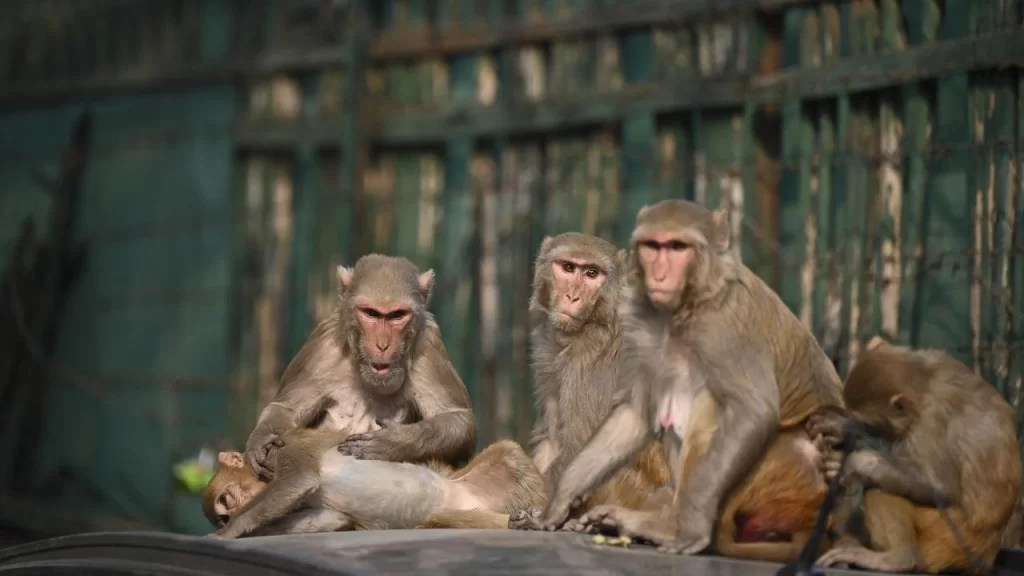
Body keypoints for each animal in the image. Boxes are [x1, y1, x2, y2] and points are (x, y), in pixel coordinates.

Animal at [202, 397, 548, 537]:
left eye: (226, 502)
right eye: (221, 515)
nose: (229, 517)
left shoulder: (286, 450)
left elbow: (299, 478)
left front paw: (230, 533)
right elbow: (333, 519)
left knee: (508, 453)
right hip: (466, 512)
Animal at [242, 252, 475, 479]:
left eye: (397, 315)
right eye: (371, 313)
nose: (382, 344)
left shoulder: (429, 348)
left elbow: (459, 419)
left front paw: (395, 441)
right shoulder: (322, 346)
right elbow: (288, 408)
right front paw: (261, 439)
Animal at [520, 230, 671, 522]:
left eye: (592, 273)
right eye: (568, 268)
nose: (572, 297)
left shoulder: (593, 360)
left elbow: (579, 442)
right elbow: (552, 440)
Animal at [806, 334, 1015, 569]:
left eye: (868, 423)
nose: (852, 424)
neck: (924, 384)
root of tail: (987, 555)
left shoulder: (930, 421)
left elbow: (941, 487)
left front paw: (854, 462)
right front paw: (840, 430)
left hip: (949, 540)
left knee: (880, 487)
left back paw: (898, 558)